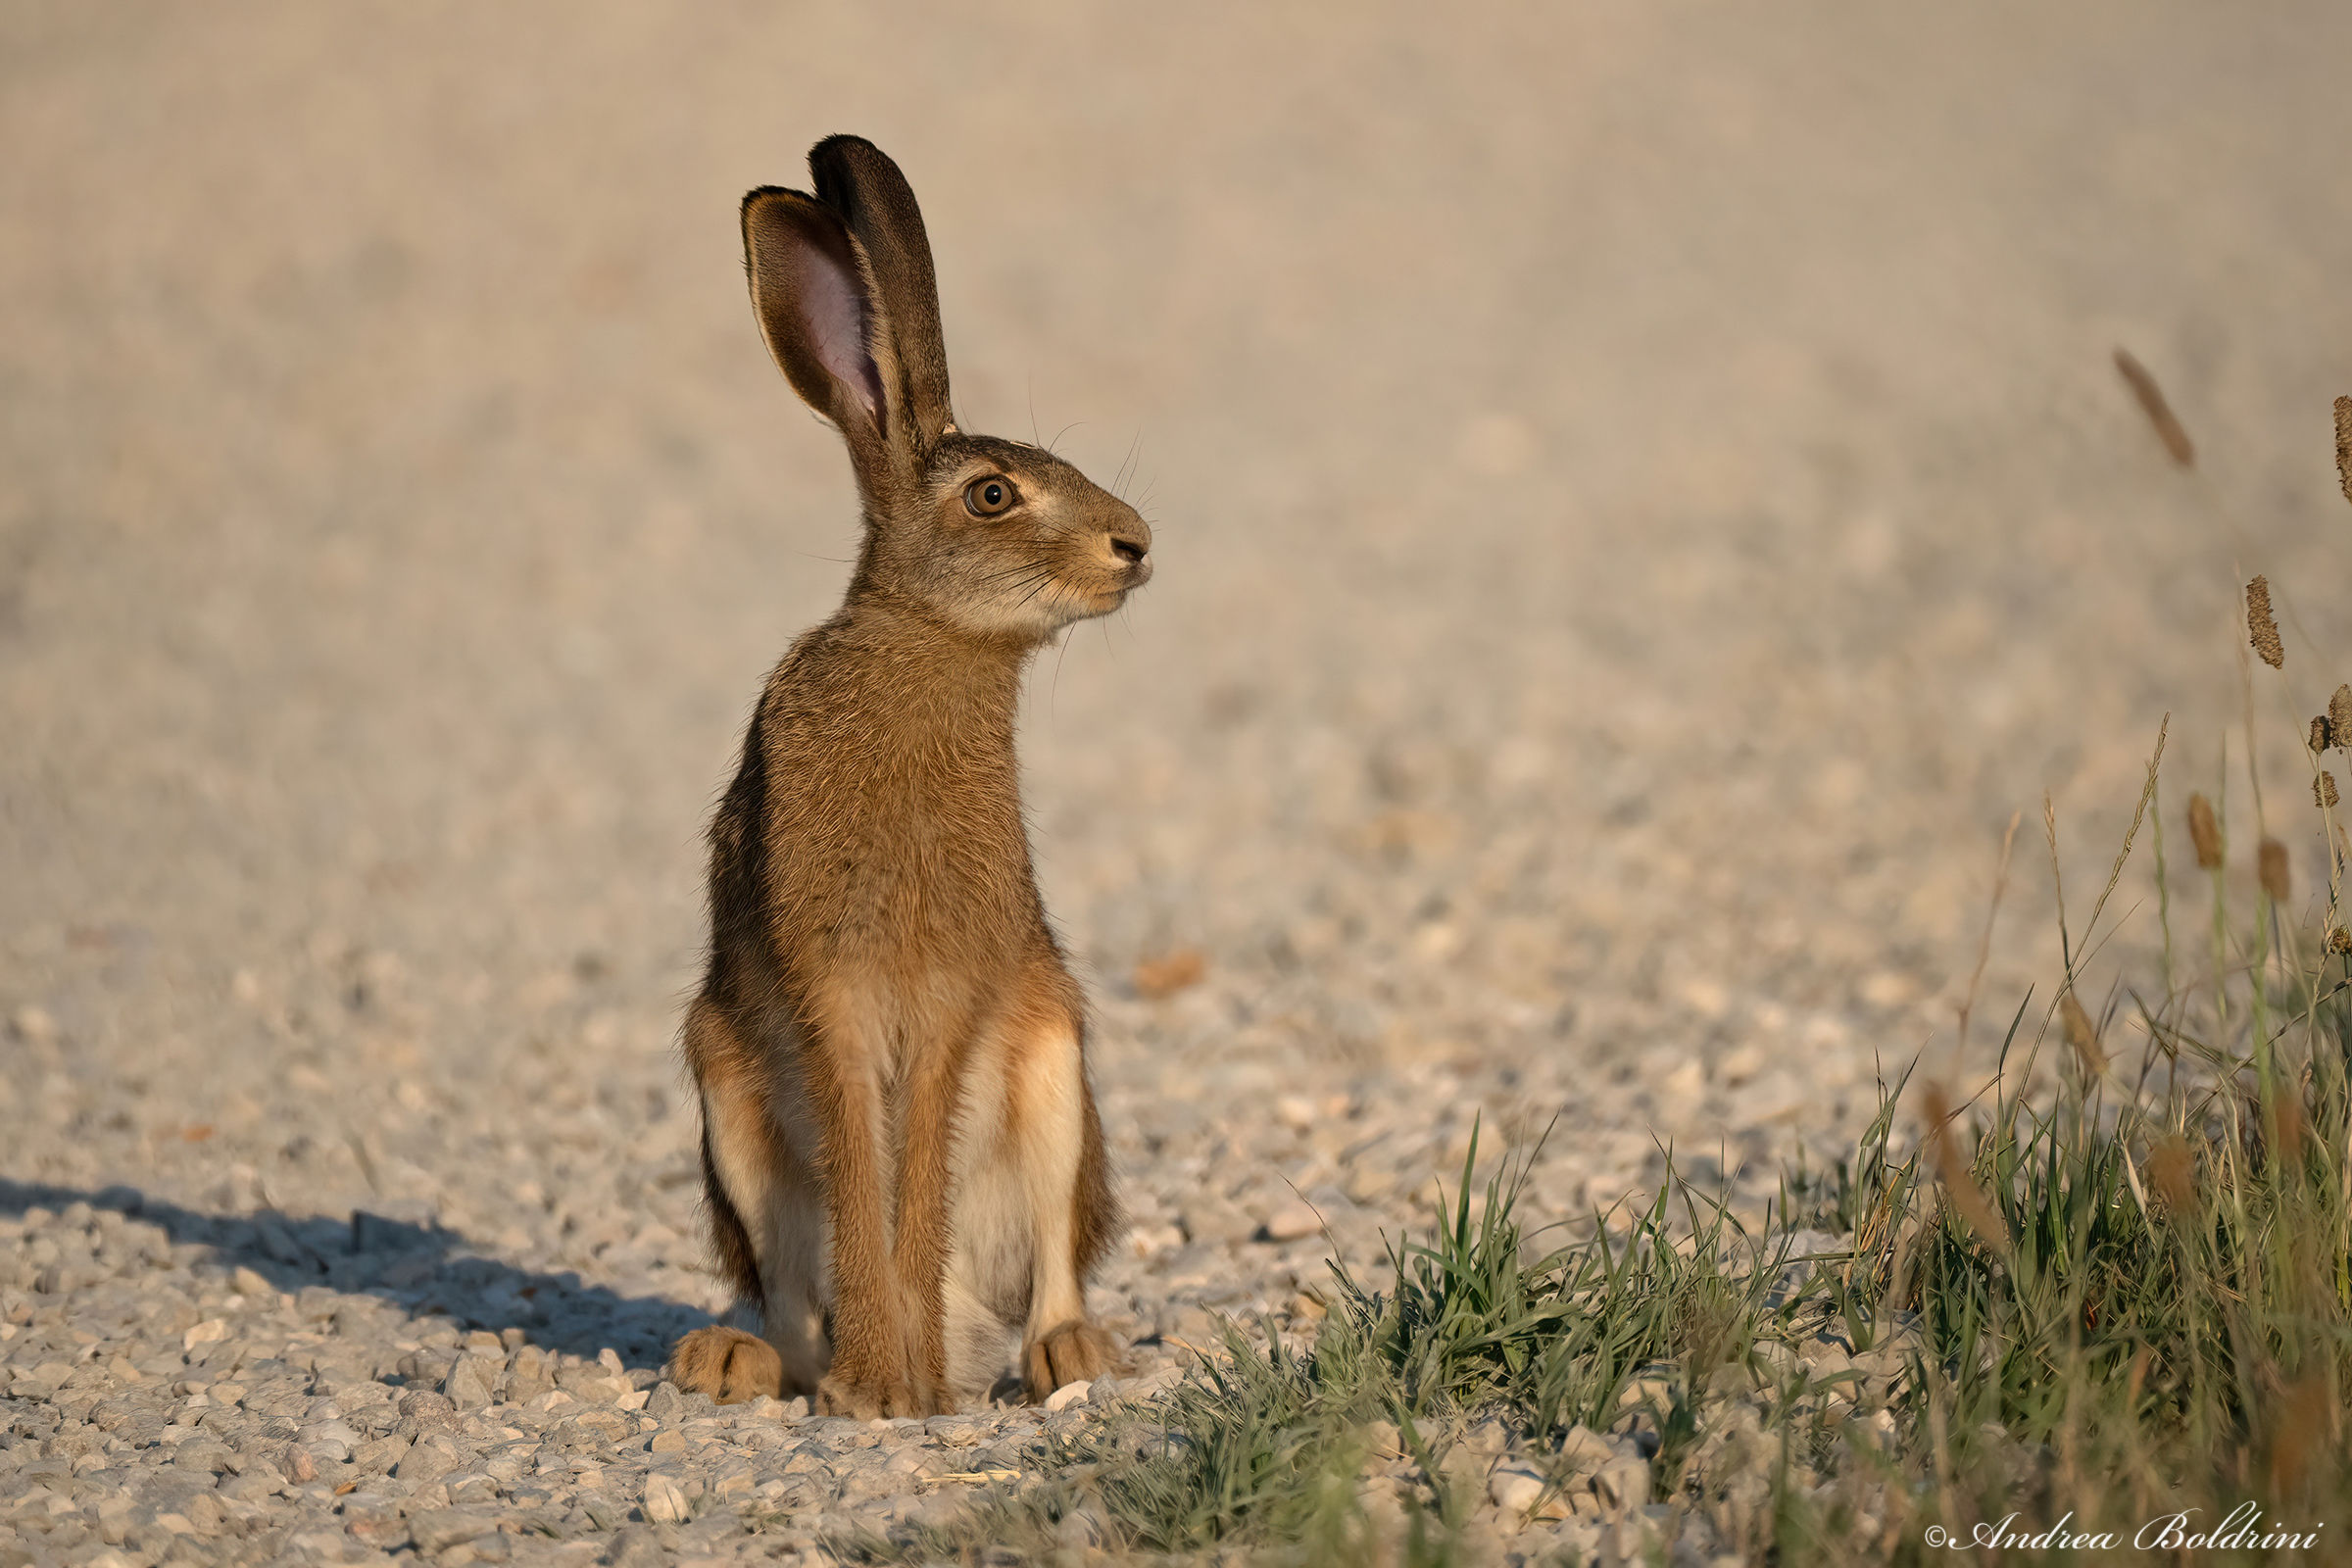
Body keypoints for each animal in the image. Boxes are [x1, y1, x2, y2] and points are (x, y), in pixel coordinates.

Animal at [665, 135, 1148, 1418]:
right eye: (992, 495)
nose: (1136, 544)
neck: (930, 637)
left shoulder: (957, 988)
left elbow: (917, 1155)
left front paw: (903, 1389)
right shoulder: (824, 974)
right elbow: (861, 1161)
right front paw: (881, 1389)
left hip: (1055, 1070)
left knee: (1054, 1267)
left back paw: (1061, 1355)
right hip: (726, 1095)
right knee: (788, 1303)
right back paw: (735, 1361)